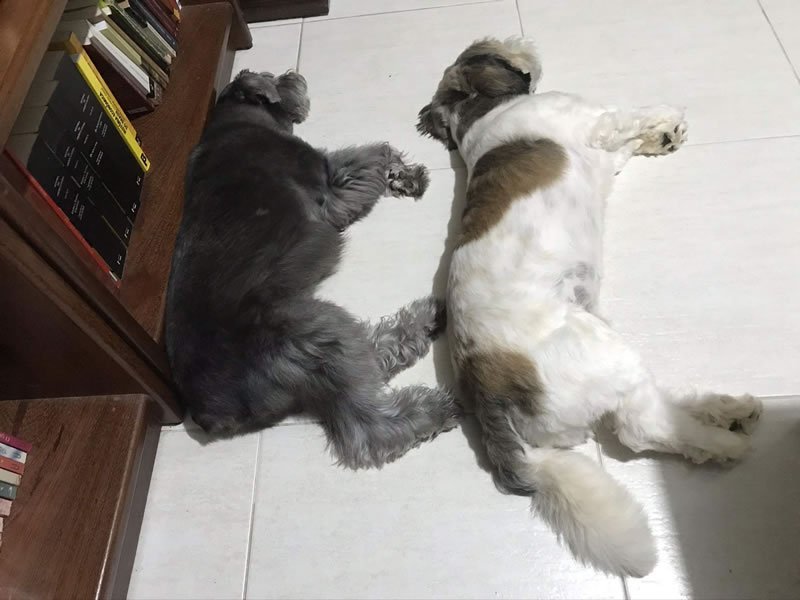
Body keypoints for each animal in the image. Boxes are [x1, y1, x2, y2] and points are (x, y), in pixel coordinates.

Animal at [165, 70, 461, 468]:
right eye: (271, 75)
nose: (293, 75)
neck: (234, 119)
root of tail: (207, 412)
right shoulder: (331, 181)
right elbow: (375, 152)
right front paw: (404, 172)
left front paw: (402, 177)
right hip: (314, 333)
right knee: (369, 427)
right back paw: (438, 405)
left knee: (368, 354)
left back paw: (426, 322)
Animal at [418, 38, 762, 576]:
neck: (481, 116)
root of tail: (483, 391)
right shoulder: (596, 120)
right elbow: (629, 114)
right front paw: (666, 118)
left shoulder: (605, 151)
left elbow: (626, 143)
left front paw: (661, 136)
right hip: (602, 349)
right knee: (642, 427)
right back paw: (726, 441)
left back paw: (726, 409)